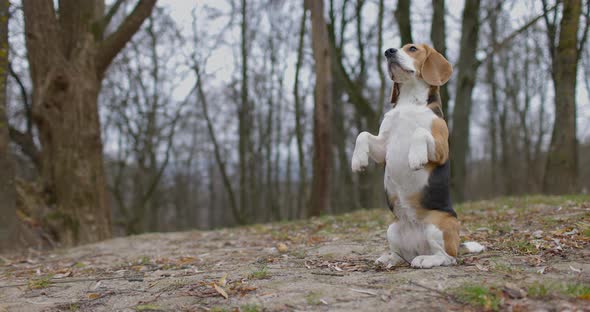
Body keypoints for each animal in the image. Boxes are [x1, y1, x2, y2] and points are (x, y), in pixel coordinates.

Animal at [352, 43, 486, 268]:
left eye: (412, 48)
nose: (388, 51)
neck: (409, 101)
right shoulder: (383, 148)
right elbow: (363, 135)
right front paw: (358, 160)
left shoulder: (442, 147)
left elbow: (420, 132)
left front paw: (415, 158)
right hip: (392, 229)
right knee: (400, 256)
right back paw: (388, 258)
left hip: (437, 225)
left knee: (447, 258)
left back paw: (426, 259)